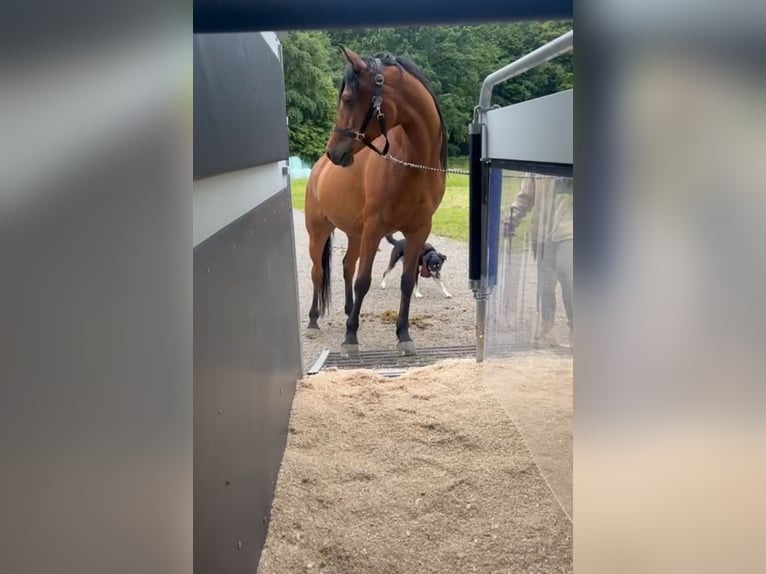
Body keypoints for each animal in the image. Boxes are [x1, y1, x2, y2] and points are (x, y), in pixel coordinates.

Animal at [304, 47, 450, 358]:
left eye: (348, 99)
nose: (334, 152)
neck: (411, 165)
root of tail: (318, 168)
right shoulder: (374, 229)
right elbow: (364, 281)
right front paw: (350, 338)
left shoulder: (418, 232)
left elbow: (406, 283)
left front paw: (403, 335)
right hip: (319, 232)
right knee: (318, 273)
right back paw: (313, 321)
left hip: (355, 234)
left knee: (347, 266)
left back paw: (349, 311)